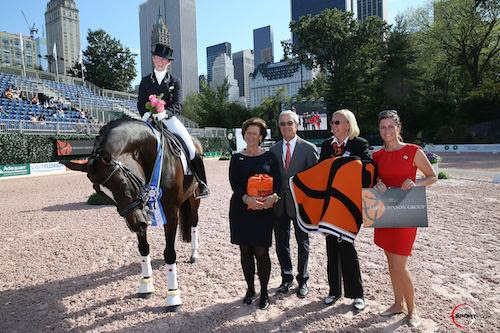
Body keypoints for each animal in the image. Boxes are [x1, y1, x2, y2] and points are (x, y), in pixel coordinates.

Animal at [64, 116, 201, 312]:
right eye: (101, 194)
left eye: (122, 183)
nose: (137, 225)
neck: (153, 155)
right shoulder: (140, 212)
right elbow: (143, 248)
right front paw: (146, 285)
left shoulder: (170, 212)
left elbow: (169, 253)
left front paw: (173, 297)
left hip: (194, 198)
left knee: (194, 222)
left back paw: (194, 254)